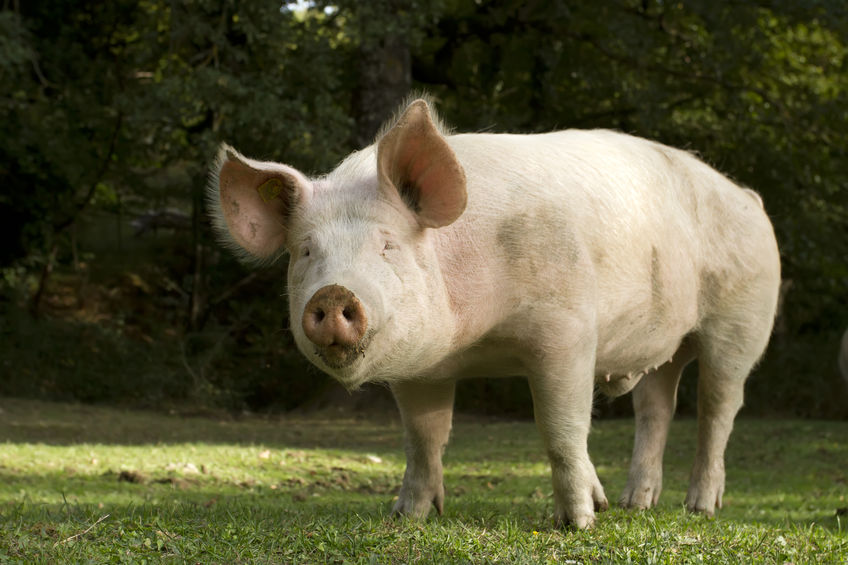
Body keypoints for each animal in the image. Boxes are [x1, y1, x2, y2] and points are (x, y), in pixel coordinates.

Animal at [208, 97, 781, 529]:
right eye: (306, 251)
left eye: (388, 245)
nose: (331, 295)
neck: (476, 344)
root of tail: (749, 196)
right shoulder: (420, 369)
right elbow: (423, 439)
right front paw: (407, 517)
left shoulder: (567, 331)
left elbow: (561, 427)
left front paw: (577, 524)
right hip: (663, 343)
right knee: (656, 407)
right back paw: (633, 504)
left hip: (742, 321)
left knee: (718, 408)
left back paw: (699, 509)